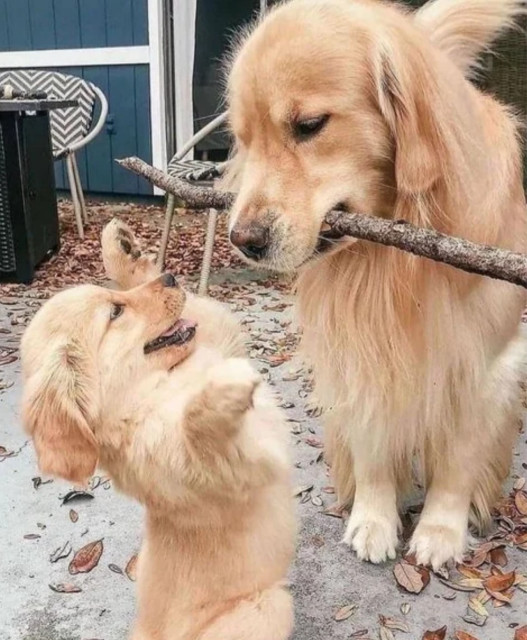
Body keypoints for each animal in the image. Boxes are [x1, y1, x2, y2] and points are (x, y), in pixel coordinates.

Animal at [20, 221, 296, 640]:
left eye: (115, 298)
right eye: (115, 312)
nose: (170, 277)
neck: (149, 392)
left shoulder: (213, 338)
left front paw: (123, 251)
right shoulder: (231, 469)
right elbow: (200, 429)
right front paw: (221, 389)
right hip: (268, 606)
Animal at [226, 0, 527, 568]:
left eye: (309, 125)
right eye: (242, 140)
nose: (243, 240)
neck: (394, 259)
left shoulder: (486, 363)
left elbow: (458, 461)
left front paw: (440, 530)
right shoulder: (358, 351)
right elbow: (372, 443)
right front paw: (374, 519)